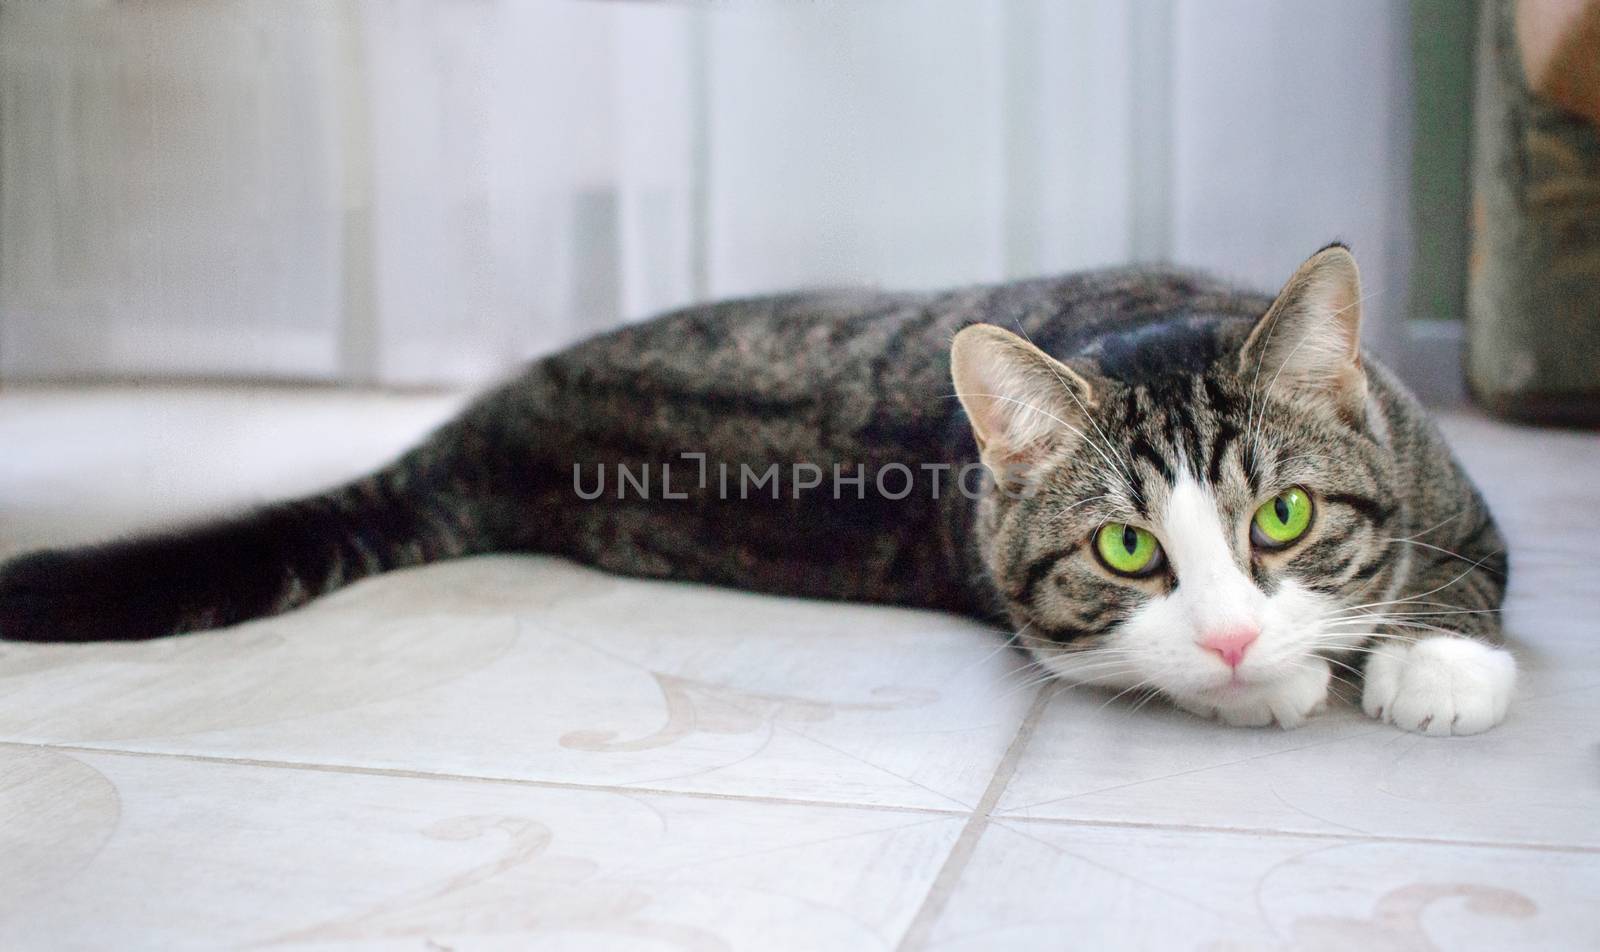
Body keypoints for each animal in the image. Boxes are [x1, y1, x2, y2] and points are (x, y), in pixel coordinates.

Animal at [0, 246, 1510, 736]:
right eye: (1129, 550)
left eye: (1284, 518)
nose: (1240, 631)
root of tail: (499, 417)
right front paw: (1288, 677)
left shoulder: (1438, 470)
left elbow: (1463, 554)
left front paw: (1434, 667)